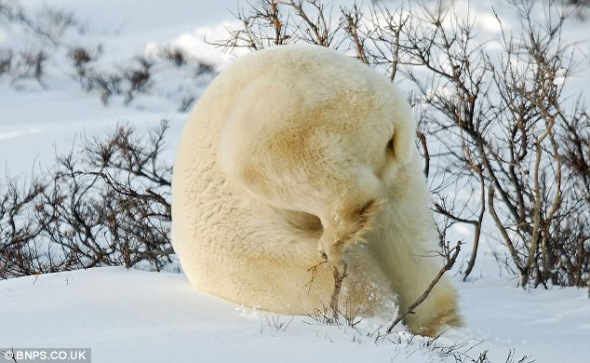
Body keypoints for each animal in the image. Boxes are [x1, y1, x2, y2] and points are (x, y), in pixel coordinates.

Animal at [171, 44, 462, 336]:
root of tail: (388, 110)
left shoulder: (257, 257)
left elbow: (348, 284)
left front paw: (369, 308)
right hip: (400, 170)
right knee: (409, 241)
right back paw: (438, 321)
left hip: (291, 109)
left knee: (266, 156)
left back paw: (336, 237)